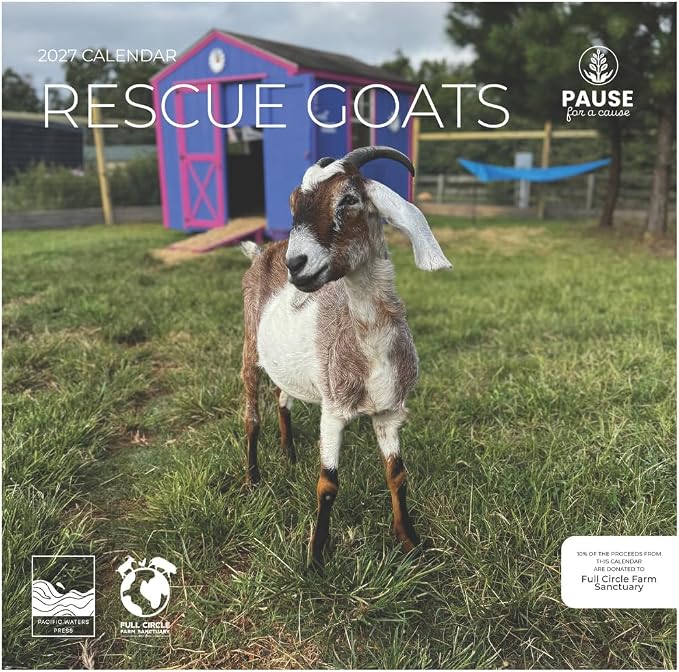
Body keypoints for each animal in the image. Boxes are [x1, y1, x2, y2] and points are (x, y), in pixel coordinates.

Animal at [240, 146, 451, 567]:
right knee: (252, 415)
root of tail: (264, 251)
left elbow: (397, 474)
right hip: (250, 347)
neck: (369, 348)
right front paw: (316, 557)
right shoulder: (333, 411)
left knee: (282, 396)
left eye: (349, 199)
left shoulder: (389, 412)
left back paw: (288, 453)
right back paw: (253, 477)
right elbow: (328, 484)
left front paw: (410, 542)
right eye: (293, 204)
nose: (296, 265)